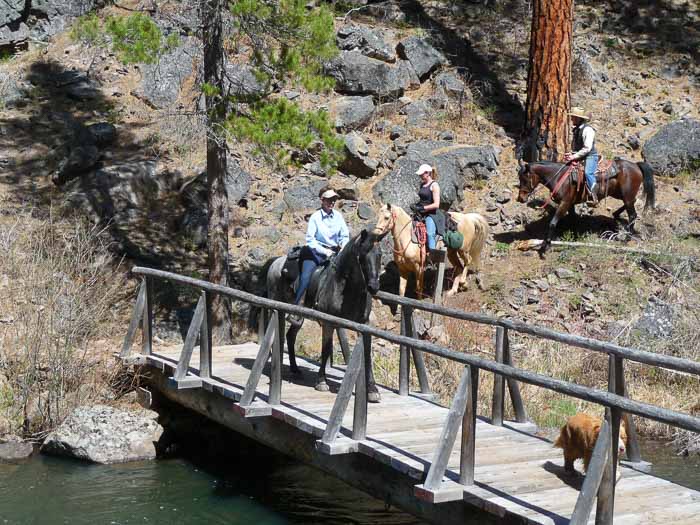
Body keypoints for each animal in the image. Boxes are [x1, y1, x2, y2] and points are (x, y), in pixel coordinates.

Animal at [258, 229, 380, 402]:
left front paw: (372, 389)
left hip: (299, 318)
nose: (374, 287)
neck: (345, 286)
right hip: (277, 306)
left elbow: (367, 355)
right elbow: (326, 349)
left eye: (379, 255)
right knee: (278, 334)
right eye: (362, 255)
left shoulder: (364, 326)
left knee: (290, 336)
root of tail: (276, 261)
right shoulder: (328, 322)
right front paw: (321, 381)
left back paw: (295, 369)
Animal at [516, 160, 656, 256]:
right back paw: (616, 214)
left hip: (626, 195)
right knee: (633, 202)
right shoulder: (570, 204)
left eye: (525, 179)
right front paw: (573, 236)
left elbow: (553, 223)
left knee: (633, 215)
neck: (560, 177)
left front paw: (547, 245)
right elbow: (573, 219)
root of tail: (636, 165)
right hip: (619, 193)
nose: (521, 198)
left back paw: (626, 238)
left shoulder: (564, 203)